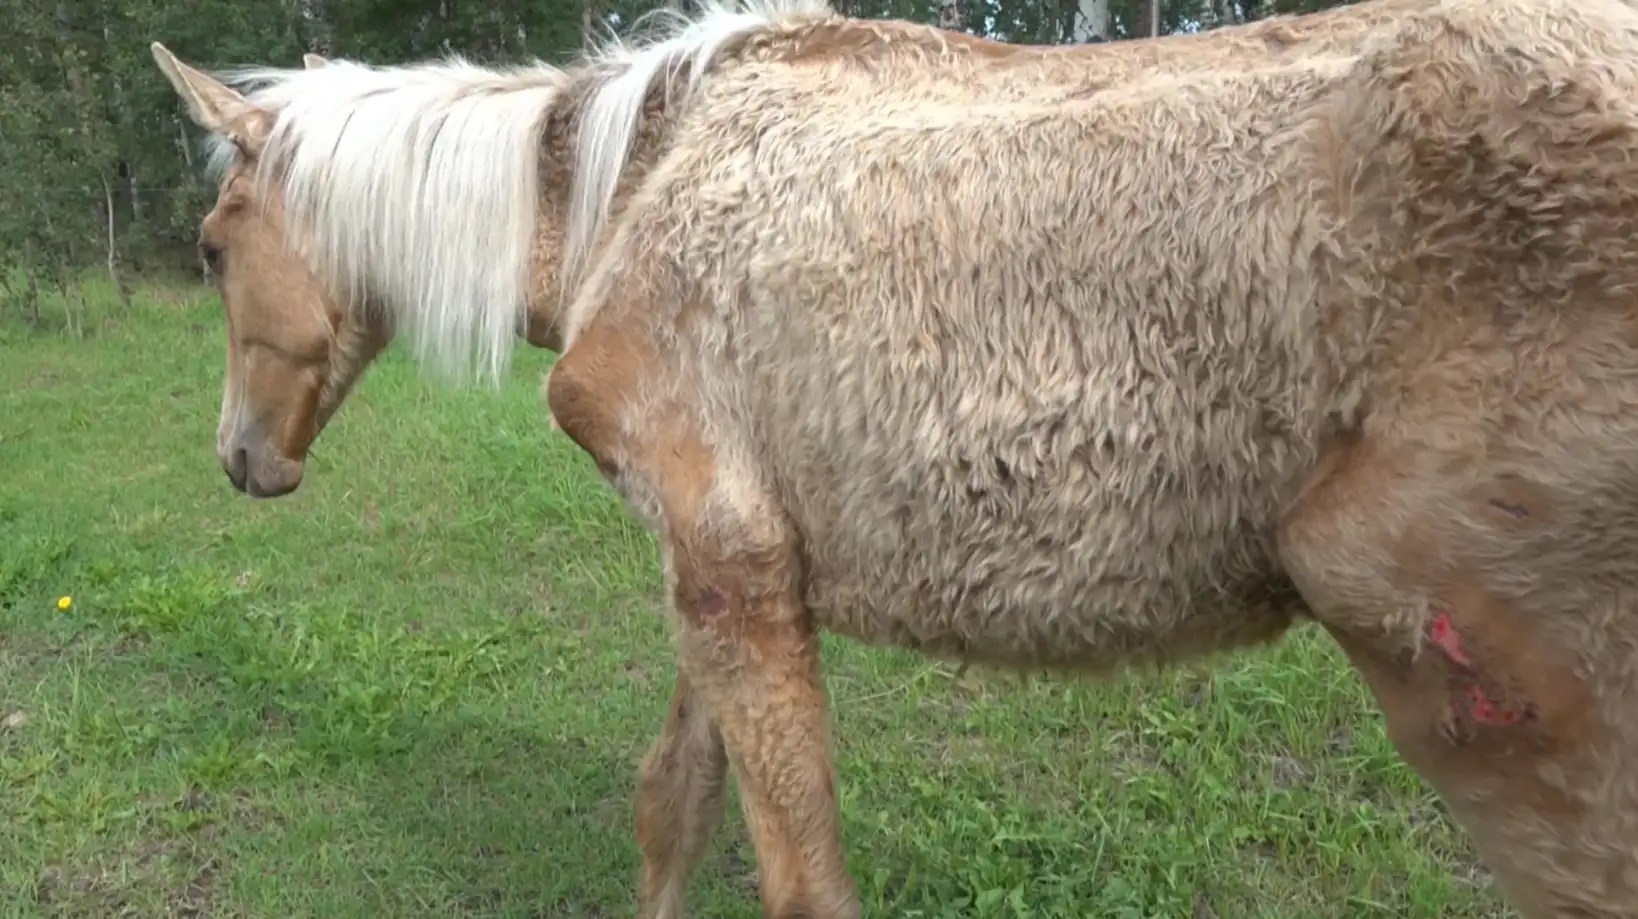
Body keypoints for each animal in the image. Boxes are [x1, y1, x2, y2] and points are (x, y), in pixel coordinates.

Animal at [150, 0, 1638, 916]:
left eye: (215, 250)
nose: (239, 457)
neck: (631, 194)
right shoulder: (720, 560)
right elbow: (672, 800)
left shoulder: (731, 564)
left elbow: (797, 869)